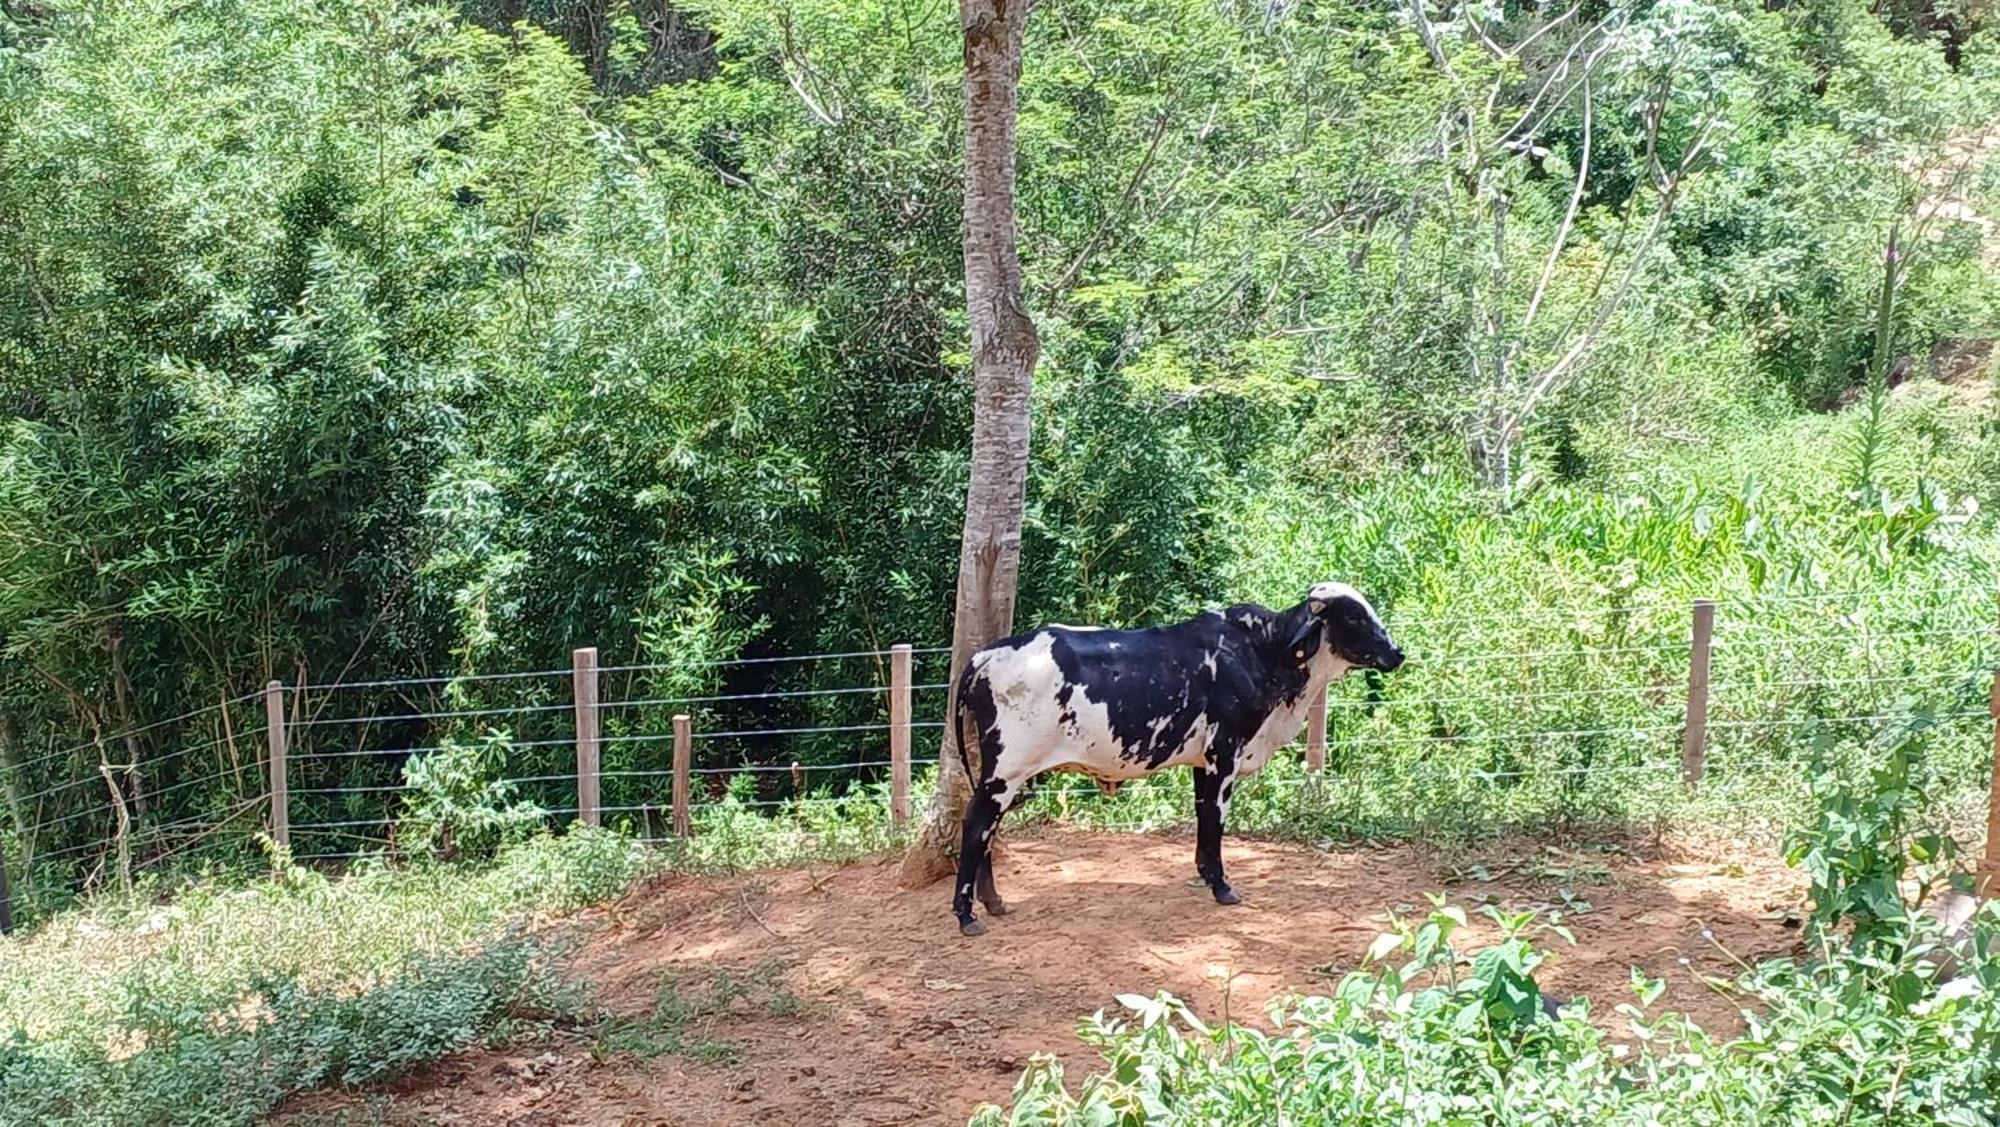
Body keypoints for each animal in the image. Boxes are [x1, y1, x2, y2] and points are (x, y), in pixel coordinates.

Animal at [944, 579, 1400, 935]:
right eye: (1354, 617)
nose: (1398, 653)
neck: (1264, 652)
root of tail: (986, 655)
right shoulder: (1224, 753)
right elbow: (1215, 821)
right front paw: (1222, 886)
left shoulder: (1203, 761)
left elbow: (1201, 816)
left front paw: (1204, 875)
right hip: (1006, 773)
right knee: (976, 826)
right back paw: (967, 914)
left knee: (987, 831)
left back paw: (994, 901)